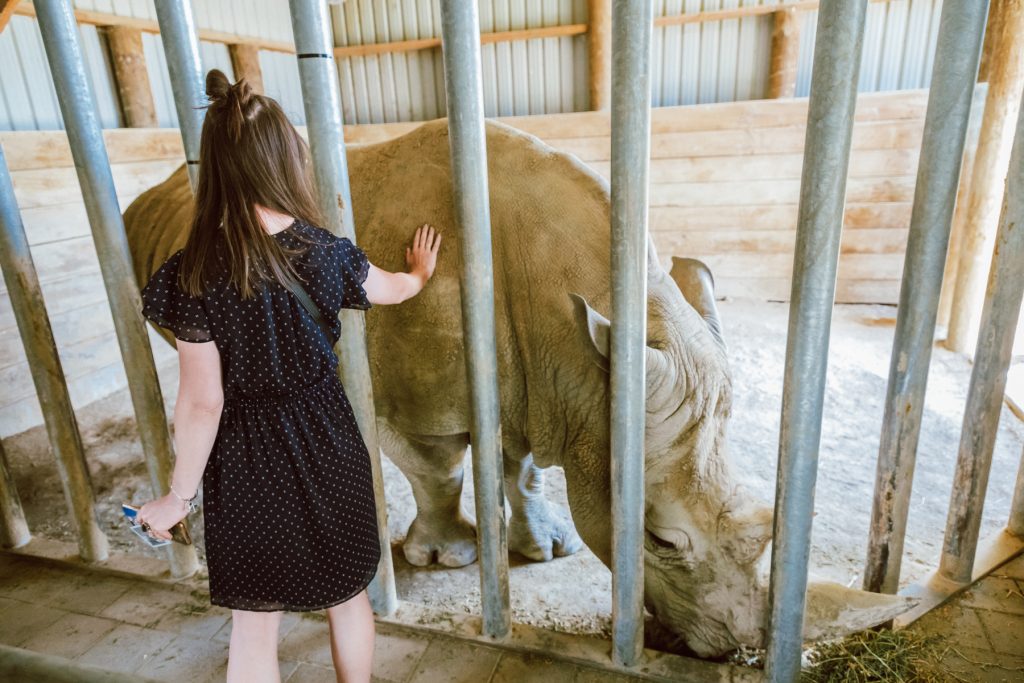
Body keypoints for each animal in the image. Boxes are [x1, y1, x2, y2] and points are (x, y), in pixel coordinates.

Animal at [123, 117, 909, 655]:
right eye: (659, 538)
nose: (736, 650)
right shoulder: (421, 400)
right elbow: (439, 468)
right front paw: (446, 558)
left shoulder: (551, 383)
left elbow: (520, 466)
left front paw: (545, 550)